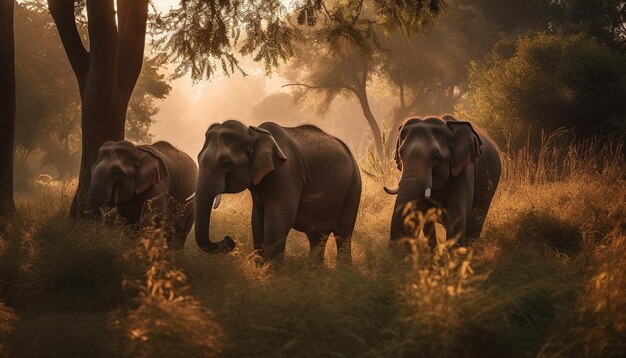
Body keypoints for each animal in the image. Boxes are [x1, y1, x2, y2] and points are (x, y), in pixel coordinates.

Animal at [382, 116, 500, 248]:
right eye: (400, 154)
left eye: (436, 157)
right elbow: (425, 218)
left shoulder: (465, 169)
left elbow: (457, 216)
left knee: (476, 222)